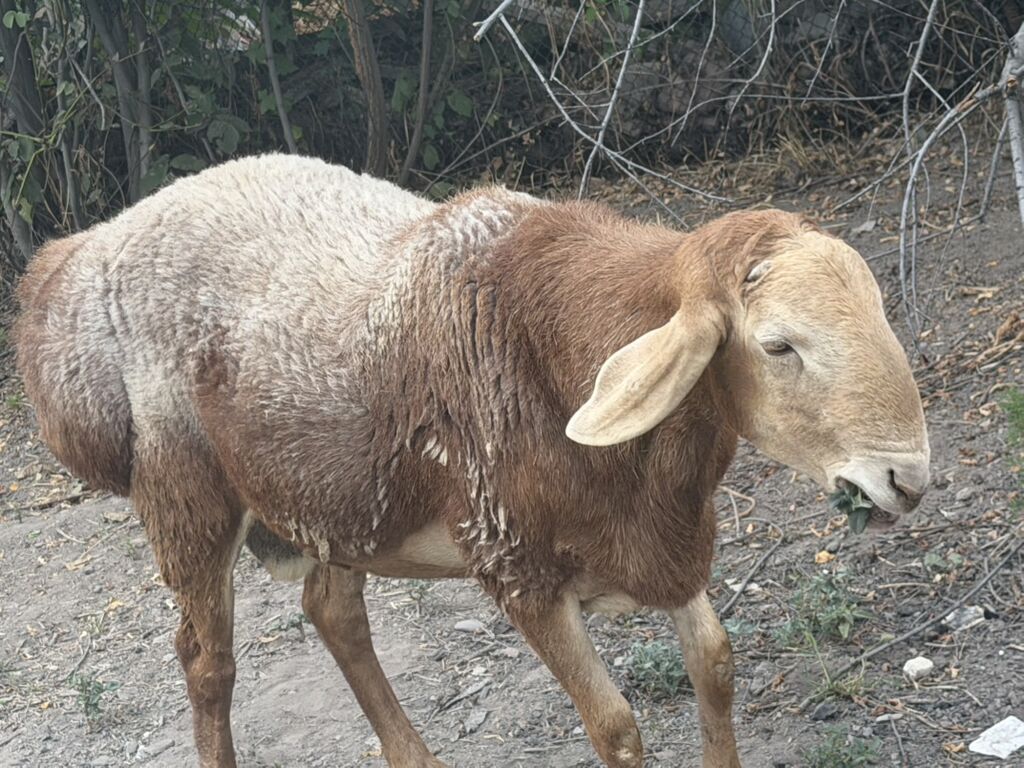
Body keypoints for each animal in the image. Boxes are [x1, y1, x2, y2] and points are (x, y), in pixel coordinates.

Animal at [14, 154, 930, 768]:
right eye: (778, 346)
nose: (908, 480)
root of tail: (78, 263)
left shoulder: (660, 541)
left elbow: (715, 666)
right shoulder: (517, 566)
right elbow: (616, 726)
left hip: (334, 499)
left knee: (330, 611)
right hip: (186, 498)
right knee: (207, 664)